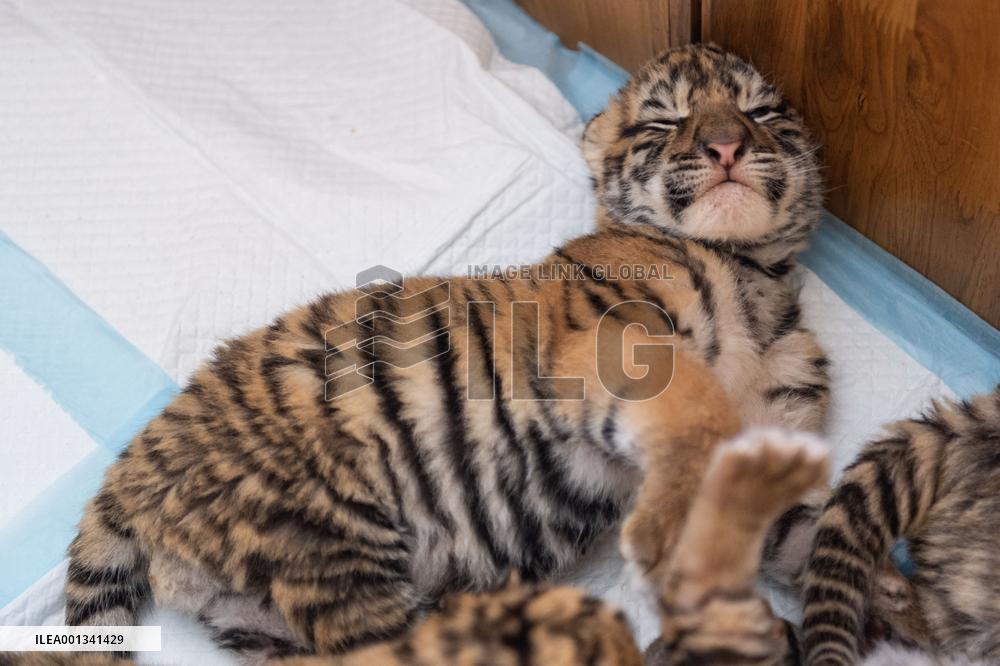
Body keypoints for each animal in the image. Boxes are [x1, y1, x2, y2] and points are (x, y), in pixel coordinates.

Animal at [62, 43, 828, 663]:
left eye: (759, 110)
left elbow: (805, 533)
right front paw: (671, 545)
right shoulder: (614, 344)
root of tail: (128, 472)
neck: (755, 275)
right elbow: (697, 413)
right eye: (663, 123)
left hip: (259, 611)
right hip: (323, 534)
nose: (726, 147)